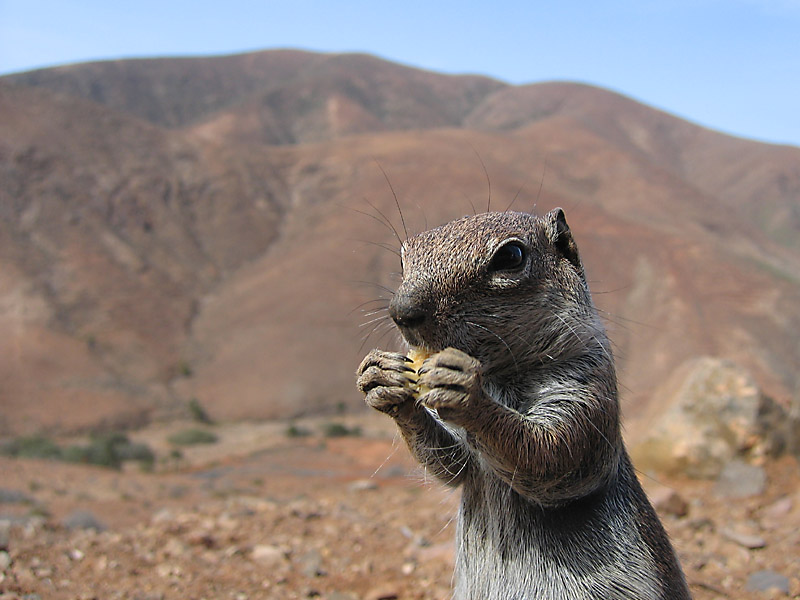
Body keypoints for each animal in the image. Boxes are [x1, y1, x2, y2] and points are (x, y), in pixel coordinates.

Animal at [358, 209, 692, 596]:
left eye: (511, 256)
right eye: (402, 259)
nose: (402, 312)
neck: (499, 374)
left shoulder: (590, 388)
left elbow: (554, 453)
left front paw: (465, 390)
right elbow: (453, 465)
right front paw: (382, 379)